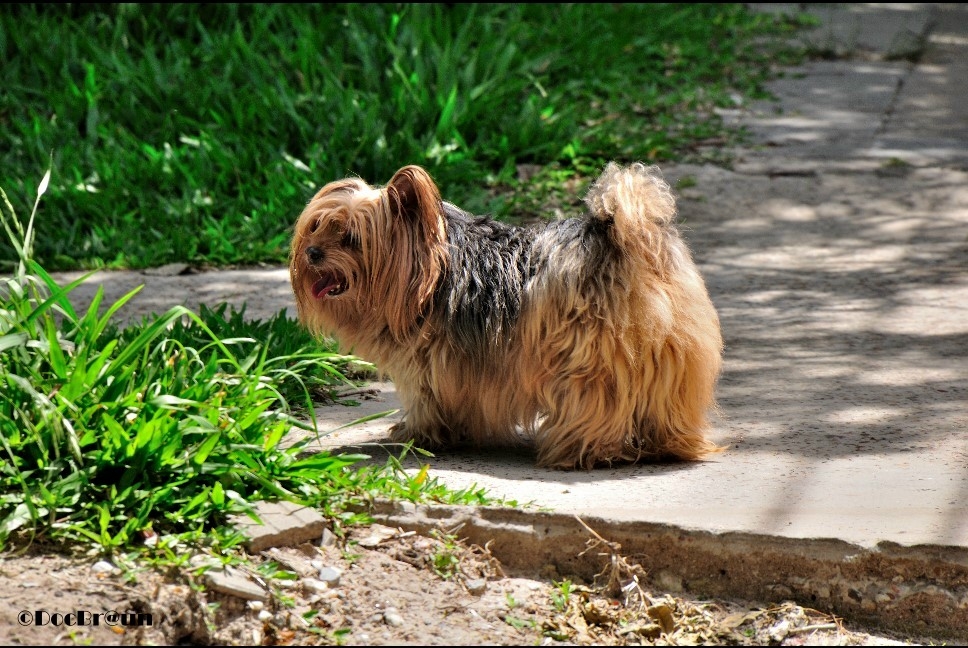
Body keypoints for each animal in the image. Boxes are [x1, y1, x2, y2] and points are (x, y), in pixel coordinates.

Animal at [292, 161, 724, 466]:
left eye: (351, 238)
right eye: (316, 227)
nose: (311, 253)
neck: (433, 267)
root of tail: (629, 239)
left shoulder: (431, 362)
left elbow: (426, 397)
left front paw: (420, 434)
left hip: (589, 357)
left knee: (596, 401)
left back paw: (581, 450)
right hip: (671, 354)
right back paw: (670, 443)